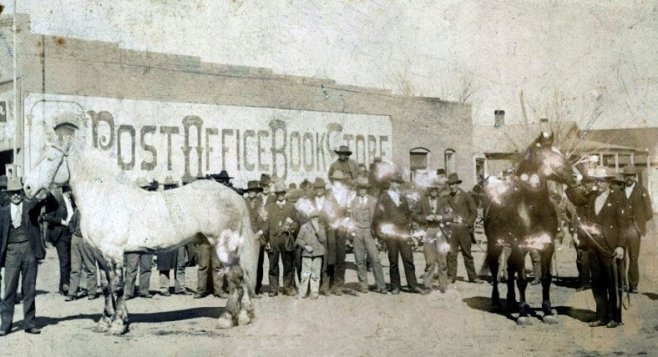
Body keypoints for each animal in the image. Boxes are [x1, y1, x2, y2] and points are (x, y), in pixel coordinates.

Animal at [23, 122, 258, 334]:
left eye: (50, 158)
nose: (27, 187)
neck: (105, 197)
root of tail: (235, 196)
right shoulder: (100, 254)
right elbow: (107, 286)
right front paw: (105, 322)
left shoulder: (114, 253)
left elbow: (117, 286)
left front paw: (118, 325)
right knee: (242, 277)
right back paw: (244, 317)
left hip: (223, 246)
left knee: (236, 277)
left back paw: (227, 319)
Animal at [482, 132, 576, 324]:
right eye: (549, 155)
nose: (576, 176)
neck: (532, 209)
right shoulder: (521, 246)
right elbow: (522, 280)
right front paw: (523, 315)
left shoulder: (547, 246)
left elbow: (546, 279)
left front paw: (547, 312)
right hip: (495, 243)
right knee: (496, 269)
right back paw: (496, 302)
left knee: (509, 268)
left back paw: (512, 301)